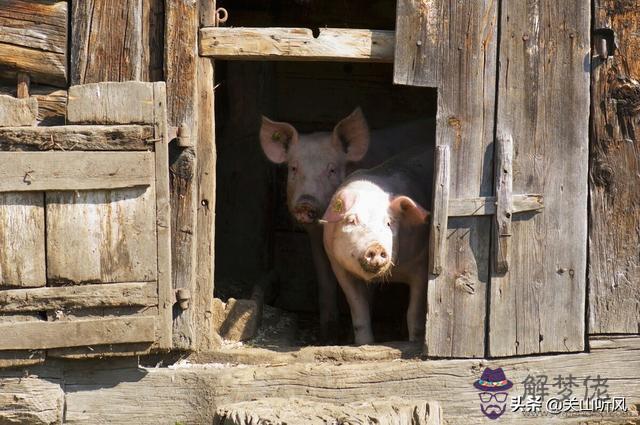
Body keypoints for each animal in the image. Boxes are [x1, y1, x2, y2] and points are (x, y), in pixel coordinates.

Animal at [322, 147, 432, 346]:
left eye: (389, 223)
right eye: (352, 220)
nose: (376, 247)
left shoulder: (421, 263)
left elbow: (415, 314)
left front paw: (414, 342)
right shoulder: (338, 267)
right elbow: (360, 311)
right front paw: (364, 343)